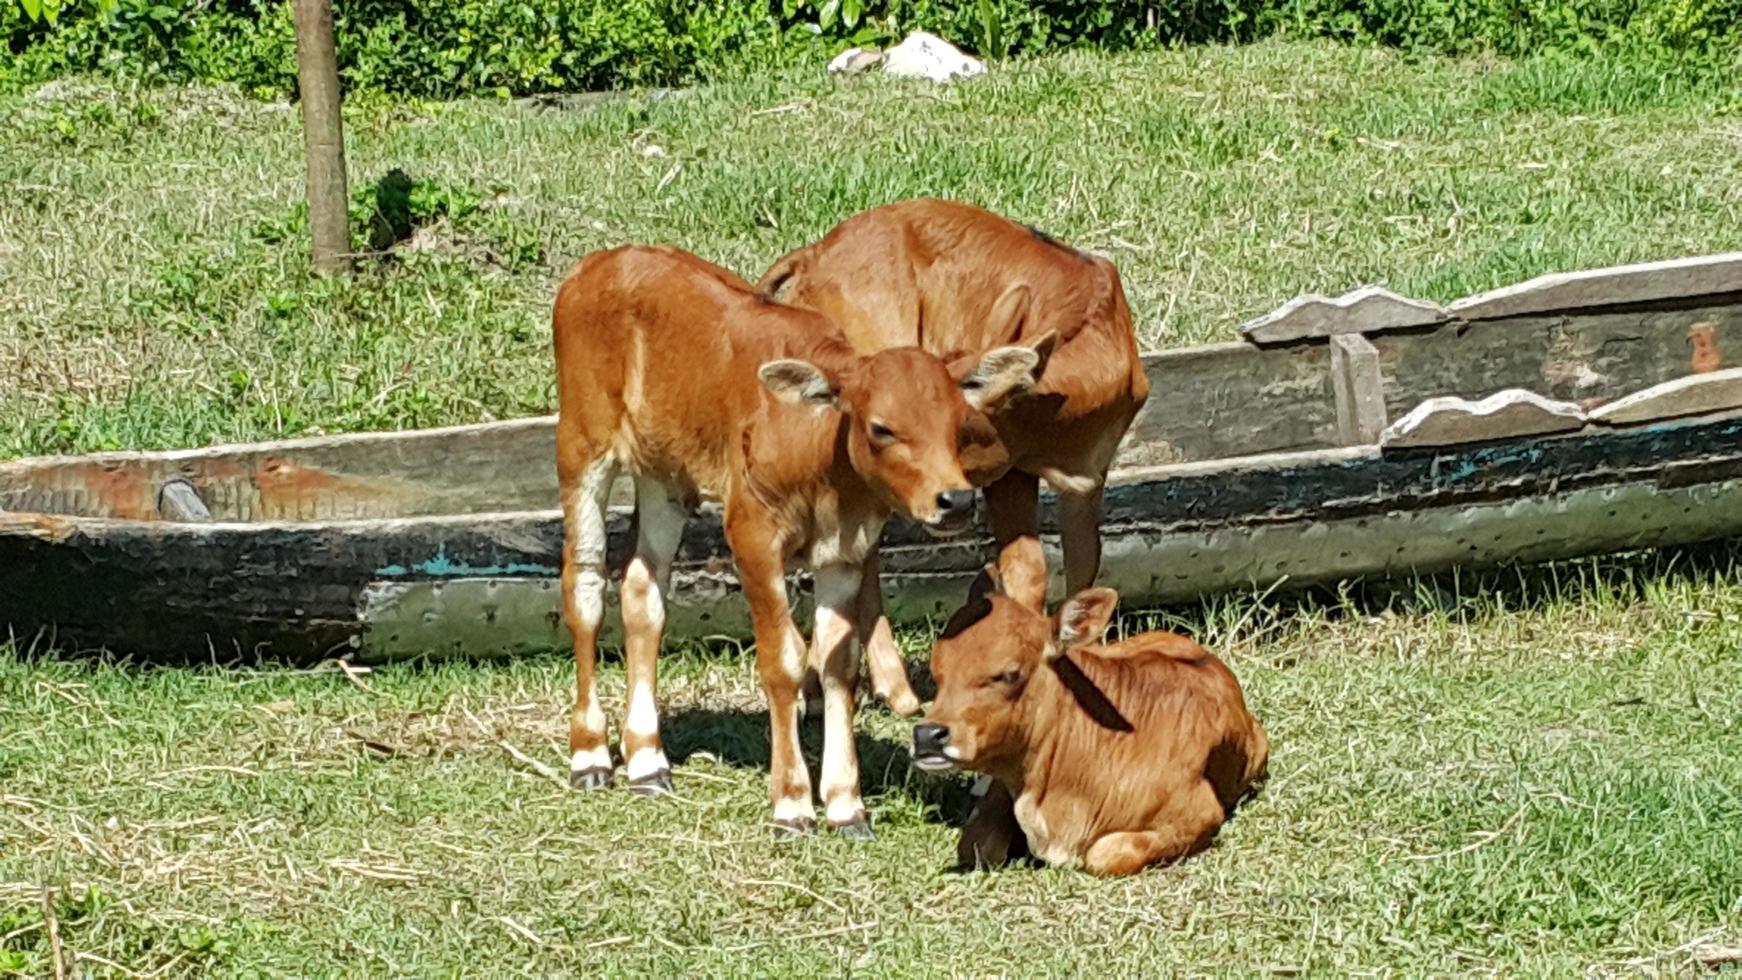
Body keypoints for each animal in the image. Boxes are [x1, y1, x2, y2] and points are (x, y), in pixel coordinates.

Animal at [553, 245, 1045, 835]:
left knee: (642, 591)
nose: (956, 500)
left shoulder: (844, 552)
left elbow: (837, 664)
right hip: (582, 446)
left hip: (664, 476)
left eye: (957, 424)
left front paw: (845, 803)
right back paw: (590, 753)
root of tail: (597, 265)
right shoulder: (752, 534)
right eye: (881, 427)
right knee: (583, 584)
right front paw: (791, 800)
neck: (820, 462)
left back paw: (648, 759)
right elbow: (784, 659)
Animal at [912, 570, 1268, 877]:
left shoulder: (1198, 815)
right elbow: (976, 844)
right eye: (937, 672)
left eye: (1008, 674)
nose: (927, 734)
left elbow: (1105, 853)